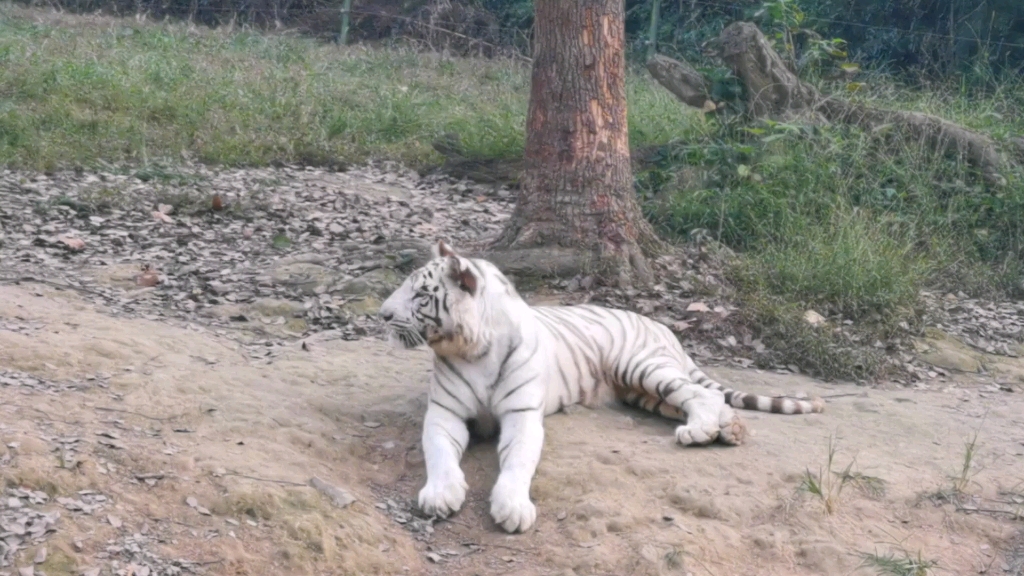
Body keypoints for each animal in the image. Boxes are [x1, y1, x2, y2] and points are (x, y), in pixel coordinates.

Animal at [378, 239, 823, 532]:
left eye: (420, 294)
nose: (381, 314)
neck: (474, 348)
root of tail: (666, 327)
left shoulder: (523, 417)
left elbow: (518, 462)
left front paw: (513, 507)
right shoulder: (444, 414)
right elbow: (439, 454)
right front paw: (440, 495)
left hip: (642, 366)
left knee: (703, 393)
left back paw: (701, 431)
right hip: (643, 393)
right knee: (701, 398)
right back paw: (730, 430)